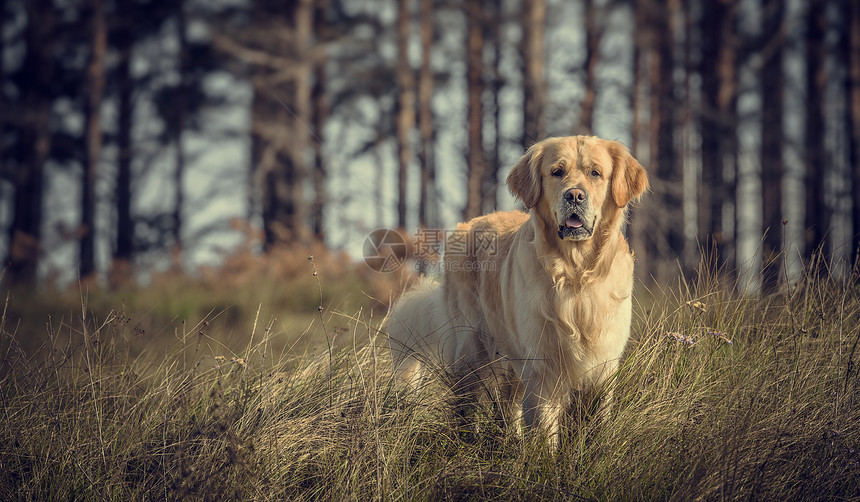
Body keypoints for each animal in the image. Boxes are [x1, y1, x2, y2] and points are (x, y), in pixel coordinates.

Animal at [388, 134, 644, 444]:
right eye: (557, 172)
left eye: (595, 173)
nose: (574, 196)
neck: (575, 275)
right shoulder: (542, 365)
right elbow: (544, 428)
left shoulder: (603, 365)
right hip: (471, 348)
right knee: (467, 404)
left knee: (507, 404)